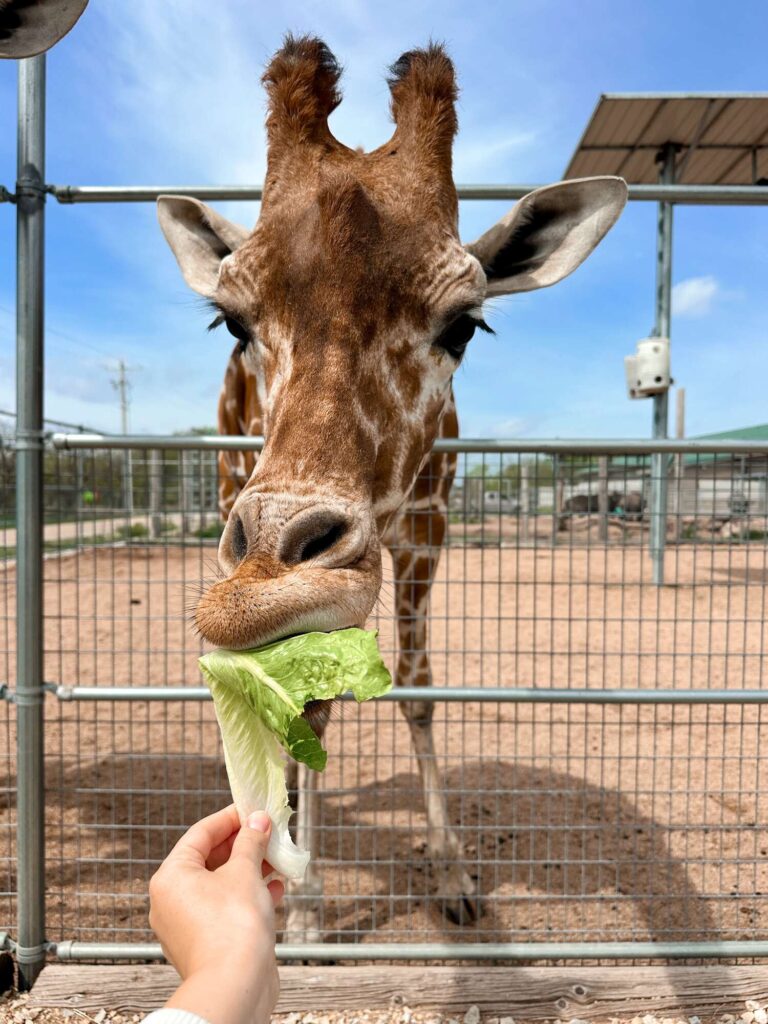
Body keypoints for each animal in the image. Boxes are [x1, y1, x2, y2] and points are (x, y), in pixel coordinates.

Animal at [158, 35, 627, 934]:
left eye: (465, 326)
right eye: (231, 322)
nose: (262, 592)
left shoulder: (426, 530)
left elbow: (416, 689)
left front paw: (452, 874)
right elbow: (309, 705)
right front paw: (305, 910)